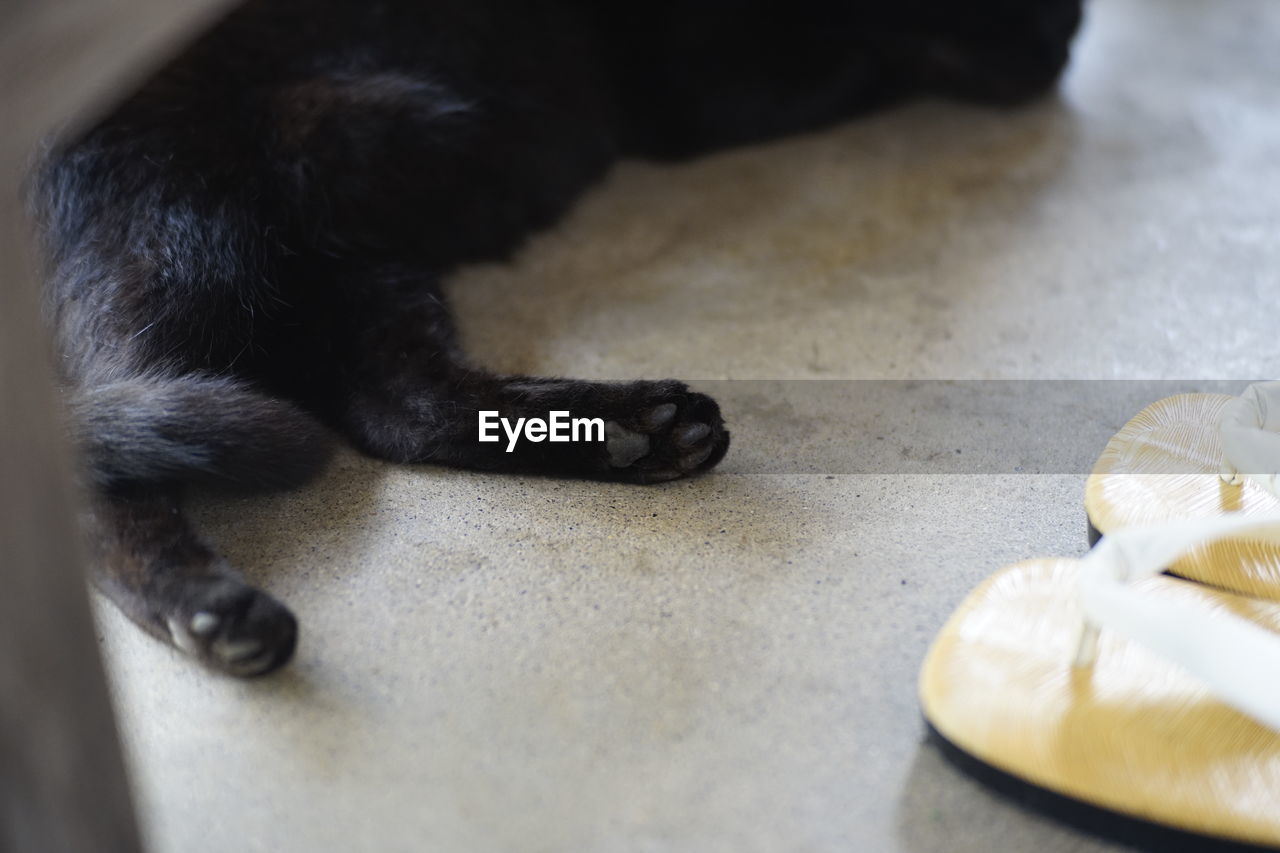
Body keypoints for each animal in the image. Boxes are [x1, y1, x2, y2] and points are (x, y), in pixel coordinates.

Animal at [32, 3, 1080, 676]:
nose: (1065, 38)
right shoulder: (702, 81)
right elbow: (871, 56)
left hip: (344, 265)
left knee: (399, 406)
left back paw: (636, 432)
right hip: (187, 238)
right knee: (106, 456)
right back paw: (211, 611)